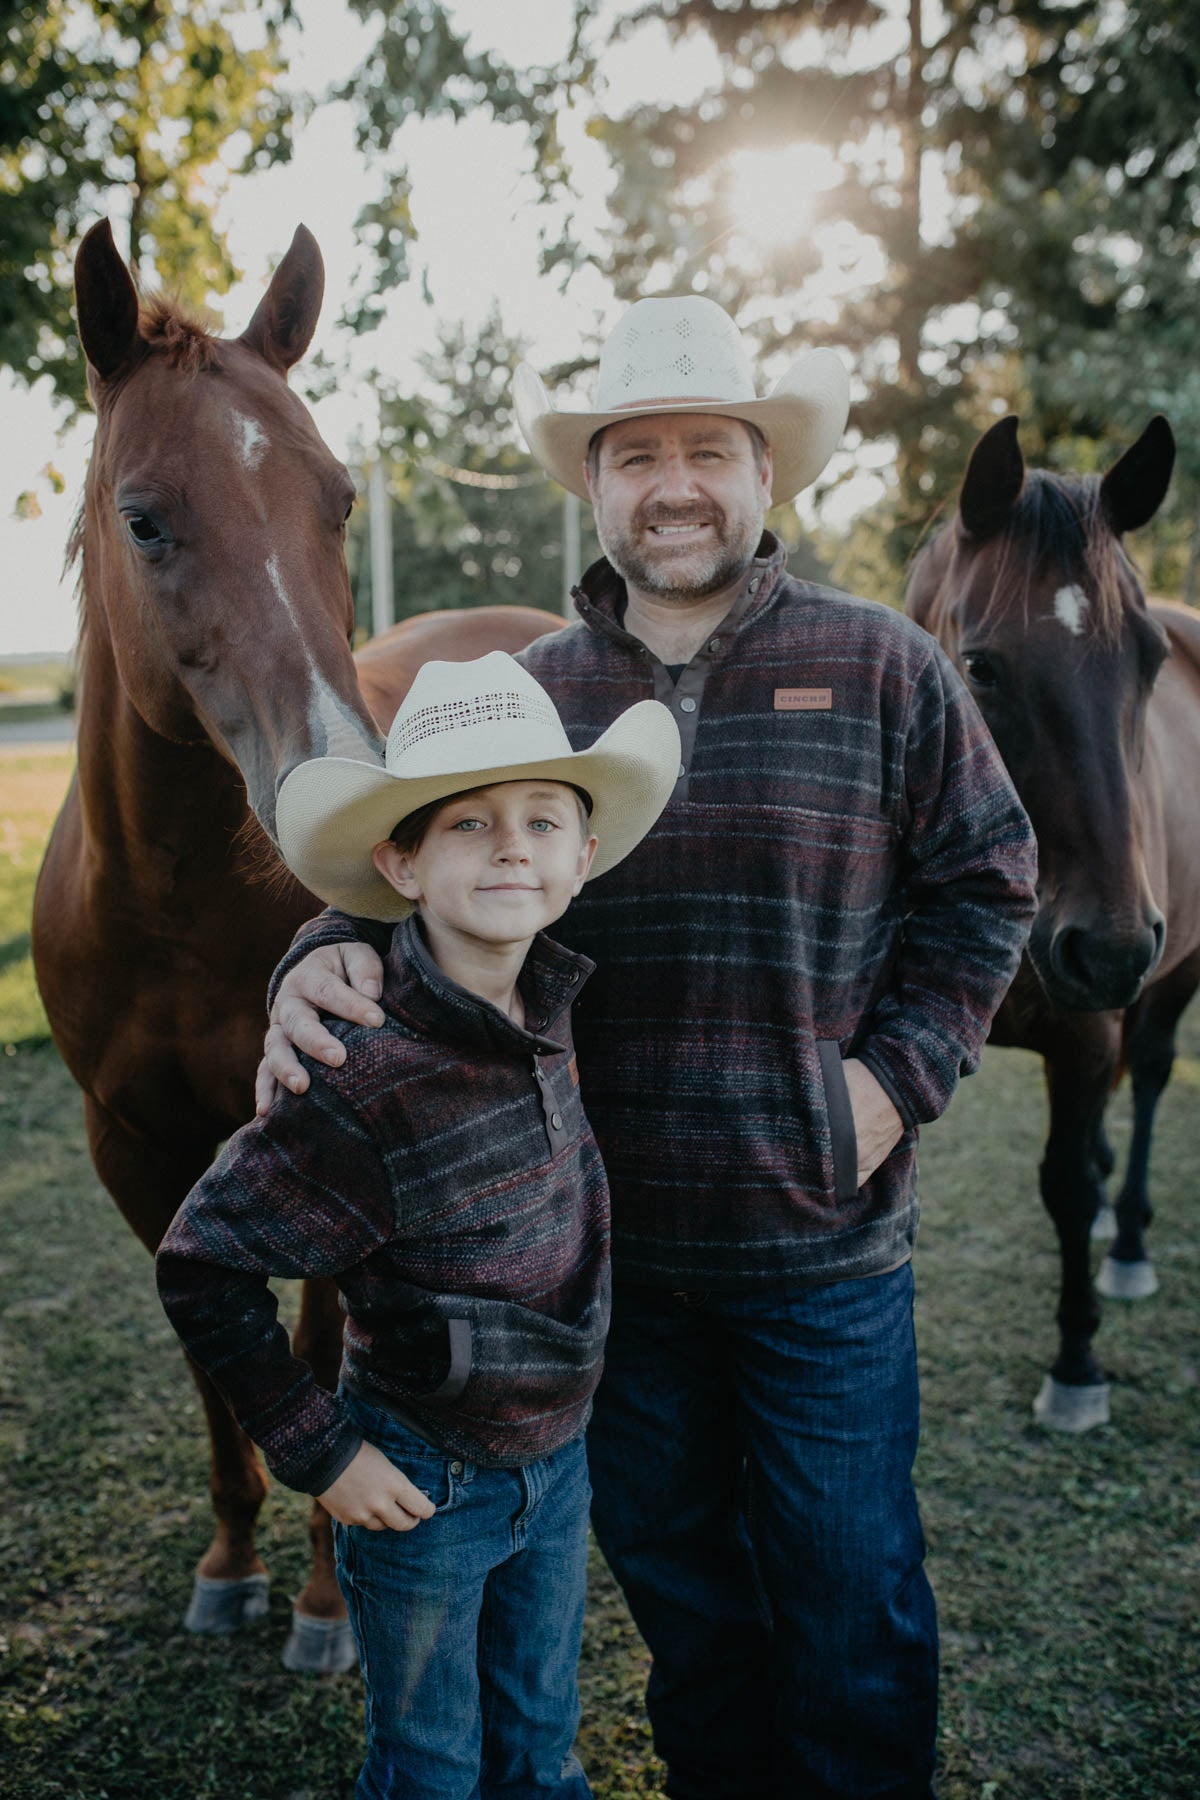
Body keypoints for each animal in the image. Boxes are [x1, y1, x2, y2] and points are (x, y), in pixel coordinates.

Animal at [31, 221, 564, 1670]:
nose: (343, 791)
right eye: (144, 518)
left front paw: (328, 1604)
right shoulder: (130, 1149)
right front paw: (230, 1566)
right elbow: (220, 1368)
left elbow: (323, 1353)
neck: (169, 912)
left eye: (336, 501)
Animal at [910, 412, 1200, 1432]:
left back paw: (1130, 1242)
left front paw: (1077, 1364)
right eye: (981, 667)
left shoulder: (1085, 1030)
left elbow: (1066, 1187)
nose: (1110, 948)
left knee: (1146, 1077)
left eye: (1149, 661)